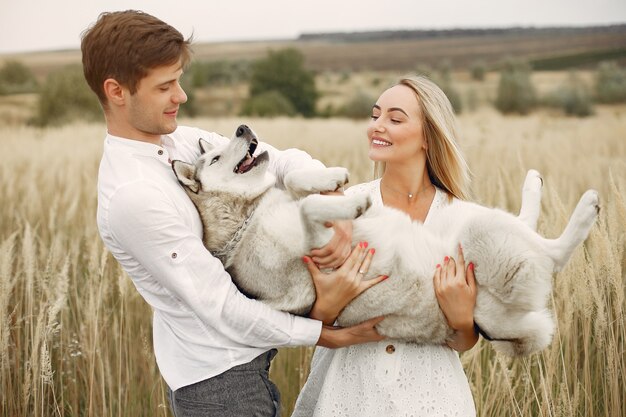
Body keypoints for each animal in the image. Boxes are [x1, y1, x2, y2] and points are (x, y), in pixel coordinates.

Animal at [172, 123, 600, 354]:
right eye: (215, 158)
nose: (243, 128)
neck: (248, 216)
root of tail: (501, 325)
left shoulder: (288, 195)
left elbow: (295, 182)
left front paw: (330, 178)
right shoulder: (309, 278)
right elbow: (310, 209)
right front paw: (354, 203)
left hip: (466, 223)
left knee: (528, 226)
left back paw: (534, 183)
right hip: (487, 235)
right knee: (554, 252)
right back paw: (585, 206)